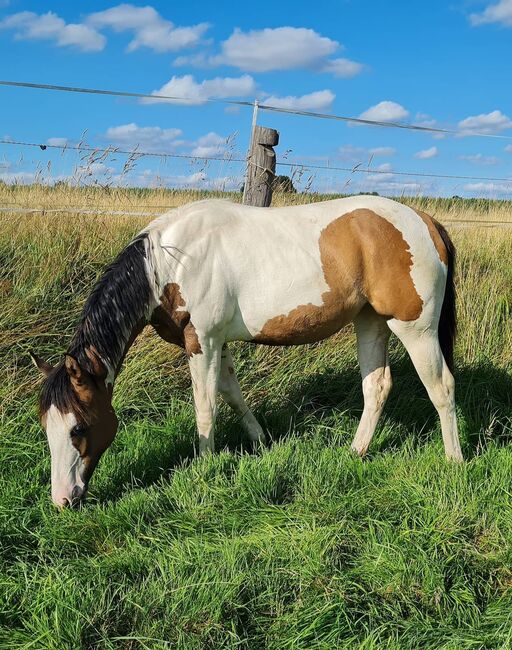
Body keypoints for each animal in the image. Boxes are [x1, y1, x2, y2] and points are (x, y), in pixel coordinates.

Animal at [30, 192, 462, 506]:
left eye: (78, 427)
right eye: (45, 426)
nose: (62, 500)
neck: (170, 262)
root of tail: (424, 221)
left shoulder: (202, 341)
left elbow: (206, 406)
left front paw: (204, 467)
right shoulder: (217, 343)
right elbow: (232, 394)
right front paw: (261, 442)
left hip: (415, 328)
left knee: (441, 387)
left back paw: (454, 460)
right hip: (371, 322)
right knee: (377, 387)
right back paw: (355, 453)